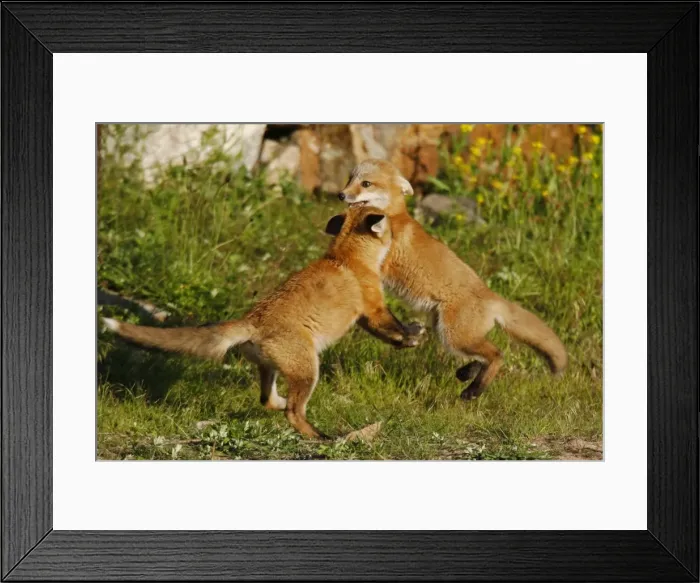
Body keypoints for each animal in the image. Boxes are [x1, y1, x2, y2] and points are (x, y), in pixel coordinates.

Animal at [102, 205, 424, 438]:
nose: (406, 228)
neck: (347, 258)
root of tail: (252, 320)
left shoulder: (365, 317)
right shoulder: (372, 310)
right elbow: (393, 329)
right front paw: (411, 337)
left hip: (272, 369)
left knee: (268, 401)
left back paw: (281, 406)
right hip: (309, 370)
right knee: (293, 413)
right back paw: (320, 437)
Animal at [333, 158, 568, 400]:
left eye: (366, 183)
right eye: (350, 179)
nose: (341, 195)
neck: (393, 216)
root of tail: (491, 295)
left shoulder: (383, 258)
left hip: (454, 336)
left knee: (496, 354)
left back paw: (474, 389)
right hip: (449, 333)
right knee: (485, 355)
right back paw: (468, 373)